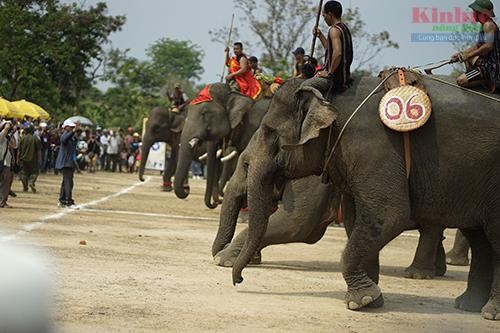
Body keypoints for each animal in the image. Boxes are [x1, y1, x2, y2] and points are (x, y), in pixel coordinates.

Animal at [229, 75, 500, 320]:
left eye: (269, 131)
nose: (238, 280)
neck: (329, 94)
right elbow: (355, 219)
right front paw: (371, 300)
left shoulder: (373, 146)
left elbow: (388, 215)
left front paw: (361, 301)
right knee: (479, 239)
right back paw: (467, 305)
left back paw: (487, 312)